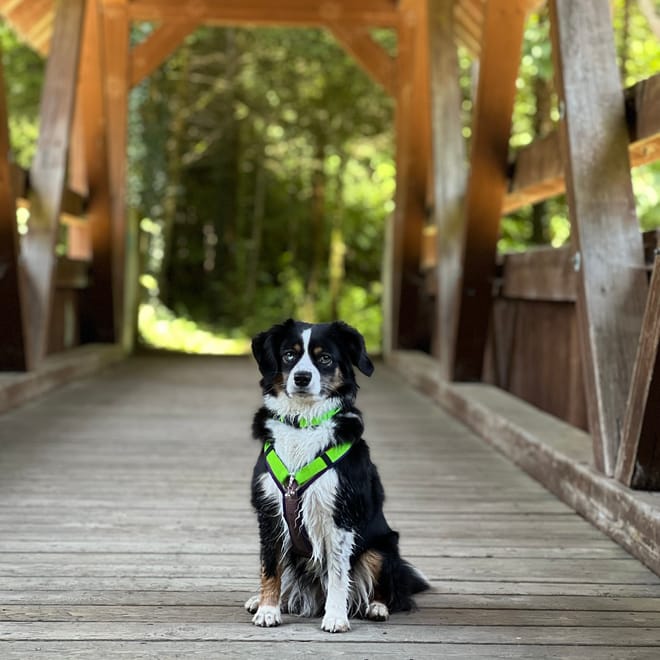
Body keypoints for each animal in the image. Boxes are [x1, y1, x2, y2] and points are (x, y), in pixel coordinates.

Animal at [245, 322, 430, 632]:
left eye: (325, 359)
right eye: (288, 355)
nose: (302, 378)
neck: (302, 425)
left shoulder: (340, 515)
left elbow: (337, 573)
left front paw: (335, 617)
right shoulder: (269, 512)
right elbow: (269, 566)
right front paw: (268, 610)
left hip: (383, 547)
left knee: (392, 592)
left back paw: (377, 607)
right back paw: (261, 600)